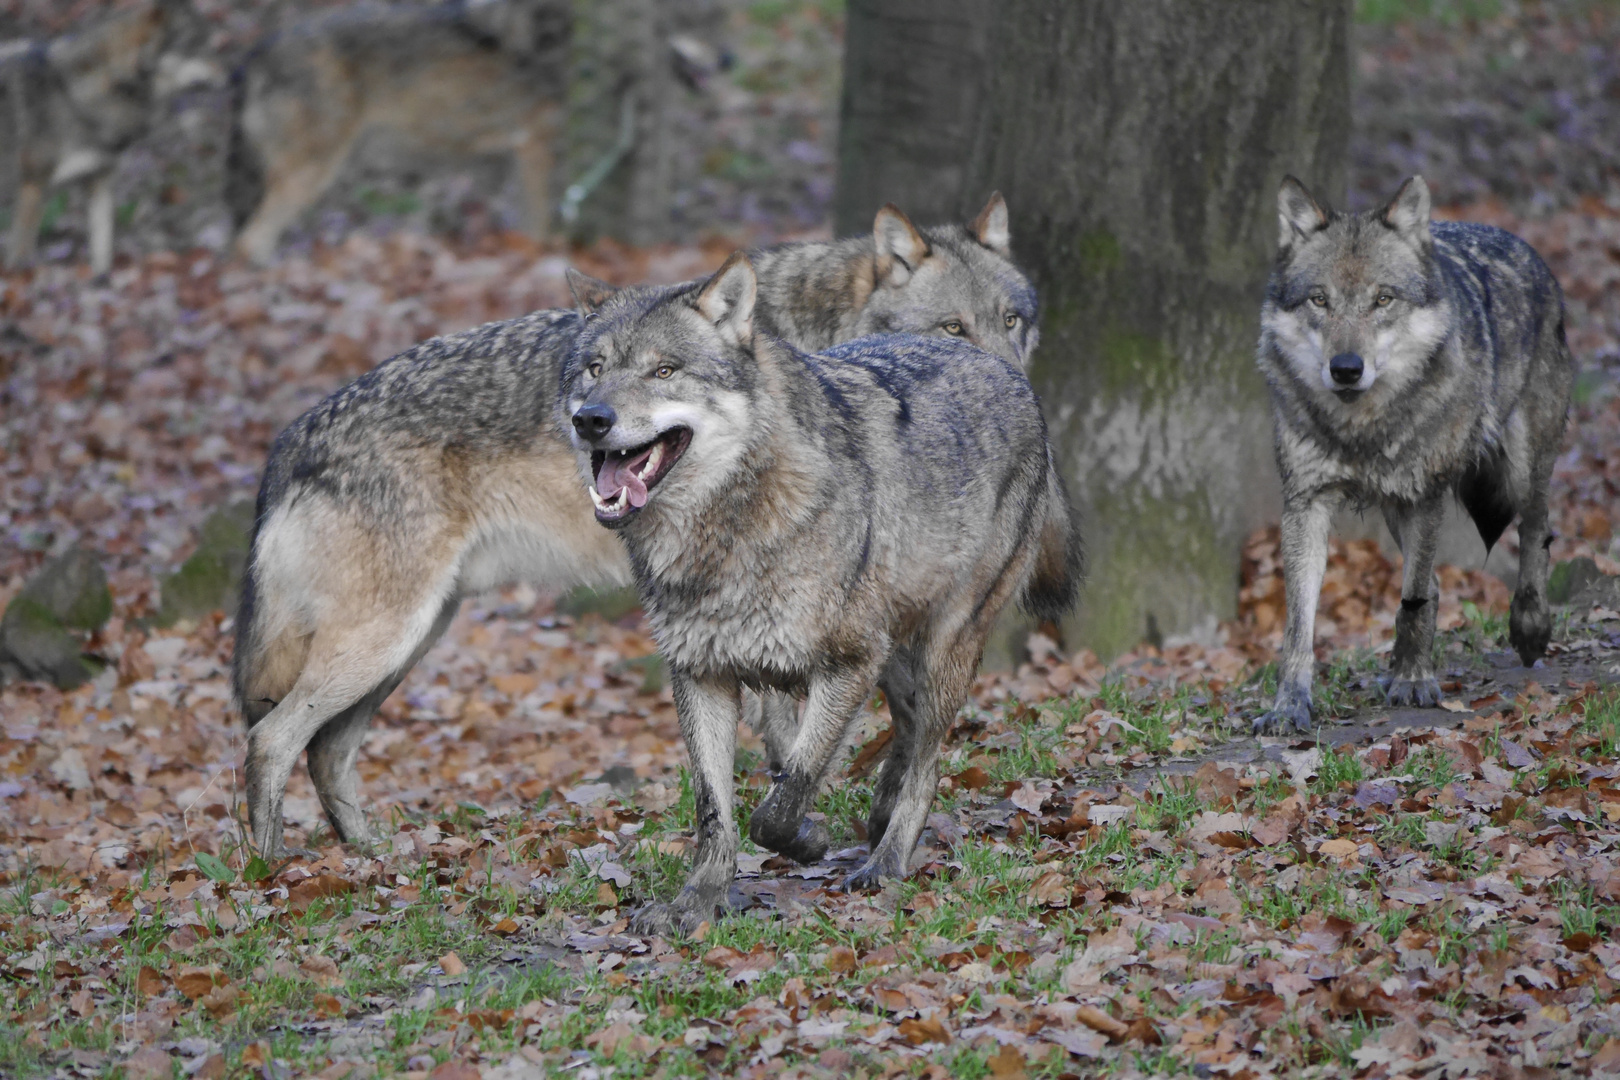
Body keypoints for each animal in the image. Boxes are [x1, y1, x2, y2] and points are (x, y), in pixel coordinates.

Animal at [0, 0, 212, 275]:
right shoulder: (31, 190)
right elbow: (19, 263)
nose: (231, 70)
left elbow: (103, 247)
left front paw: (101, 280)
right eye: (197, 43)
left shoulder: (99, 179)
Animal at [228, 0, 570, 268]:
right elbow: (540, 230)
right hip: (313, 173)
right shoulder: (538, 147)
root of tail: (258, 51)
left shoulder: (520, 155)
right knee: (249, 240)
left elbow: (526, 228)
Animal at [231, 191, 1062, 854]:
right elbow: (792, 730)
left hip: (410, 639)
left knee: (326, 751)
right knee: (271, 739)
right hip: (383, 638)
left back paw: (372, 859)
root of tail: (292, 436)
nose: (1009, 386)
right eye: (951, 328)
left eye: (1012, 321)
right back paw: (273, 877)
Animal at [563, 255, 1082, 939]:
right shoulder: (703, 675)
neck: (728, 529)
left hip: (944, 646)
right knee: (908, 727)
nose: (591, 419)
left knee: (929, 761)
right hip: (895, 655)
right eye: (595, 369)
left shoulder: (846, 665)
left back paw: (886, 862)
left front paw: (806, 841)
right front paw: (695, 903)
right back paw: (880, 817)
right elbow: (715, 810)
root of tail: (1004, 369)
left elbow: (782, 801)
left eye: (664, 370)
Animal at [1250, 175, 1568, 735]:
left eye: (1383, 299)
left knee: (1535, 531)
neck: (1361, 430)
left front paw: (1414, 680)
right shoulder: (1306, 504)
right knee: (1438, 581)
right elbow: (1298, 627)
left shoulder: (1424, 497)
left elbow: (1414, 599)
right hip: (1397, 509)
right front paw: (1289, 705)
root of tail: (1527, 249)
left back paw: (1530, 627)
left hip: (1519, 468)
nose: (1346, 368)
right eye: (1319, 300)